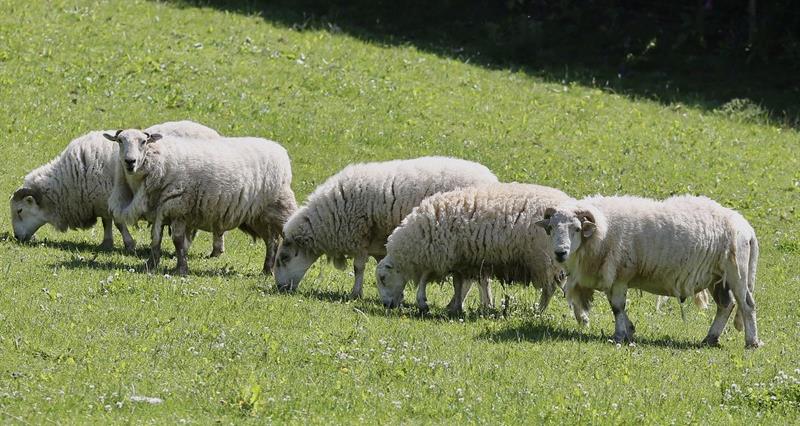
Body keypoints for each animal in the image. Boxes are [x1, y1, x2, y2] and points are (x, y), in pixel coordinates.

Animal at [104, 129, 296, 276]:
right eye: (120, 141)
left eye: (144, 142)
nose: (130, 162)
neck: (159, 162)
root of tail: (280, 151)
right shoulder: (159, 209)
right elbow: (156, 238)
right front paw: (150, 264)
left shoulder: (178, 207)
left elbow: (177, 240)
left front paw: (181, 269)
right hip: (257, 215)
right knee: (272, 241)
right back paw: (267, 270)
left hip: (279, 204)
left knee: (278, 237)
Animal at [273, 156, 498, 299]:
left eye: (284, 258)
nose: (280, 288)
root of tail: (491, 179)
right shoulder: (378, 242)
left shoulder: (359, 235)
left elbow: (358, 268)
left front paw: (356, 293)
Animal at [375, 183, 571, 314]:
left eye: (383, 278)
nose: (386, 305)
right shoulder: (460, 260)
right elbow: (458, 284)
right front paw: (455, 307)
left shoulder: (438, 255)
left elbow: (426, 279)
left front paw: (423, 302)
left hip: (544, 260)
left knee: (549, 288)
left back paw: (538, 311)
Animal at [535, 195, 762, 348]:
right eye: (551, 228)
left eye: (576, 228)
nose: (560, 253)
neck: (602, 230)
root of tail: (747, 228)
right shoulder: (612, 276)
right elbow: (616, 307)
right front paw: (629, 330)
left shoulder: (621, 274)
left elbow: (617, 307)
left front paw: (619, 336)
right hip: (717, 278)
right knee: (726, 305)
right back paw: (710, 339)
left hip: (737, 272)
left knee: (746, 305)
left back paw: (751, 342)